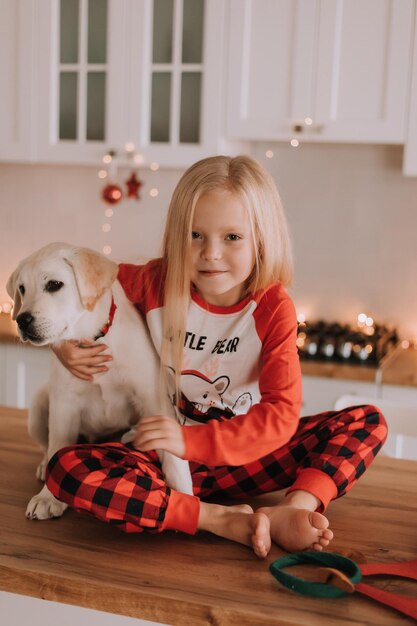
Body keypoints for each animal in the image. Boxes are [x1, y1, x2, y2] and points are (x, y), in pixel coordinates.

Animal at [6, 241, 193, 520]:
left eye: (54, 285)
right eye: (22, 288)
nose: (21, 320)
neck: (92, 339)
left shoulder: (154, 399)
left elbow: (172, 455)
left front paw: (186, 496)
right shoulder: (64, 405)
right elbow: (57, 448)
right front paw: (48, 496)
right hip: (40, 405)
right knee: (46, 446)